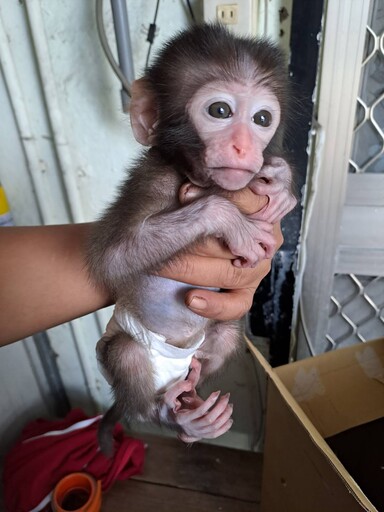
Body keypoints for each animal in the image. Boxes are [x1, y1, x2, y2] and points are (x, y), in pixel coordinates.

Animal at [88, 25, 296, 456]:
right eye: (219, 111)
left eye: (262, 119)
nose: (243, 147)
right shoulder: (153, 179)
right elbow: (113, 258)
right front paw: (227, 216)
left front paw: (282, 181)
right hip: (123, 350)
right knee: (126, 356)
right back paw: (171, 416)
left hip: (205, 344)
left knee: (226, 332)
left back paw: (195, 394)